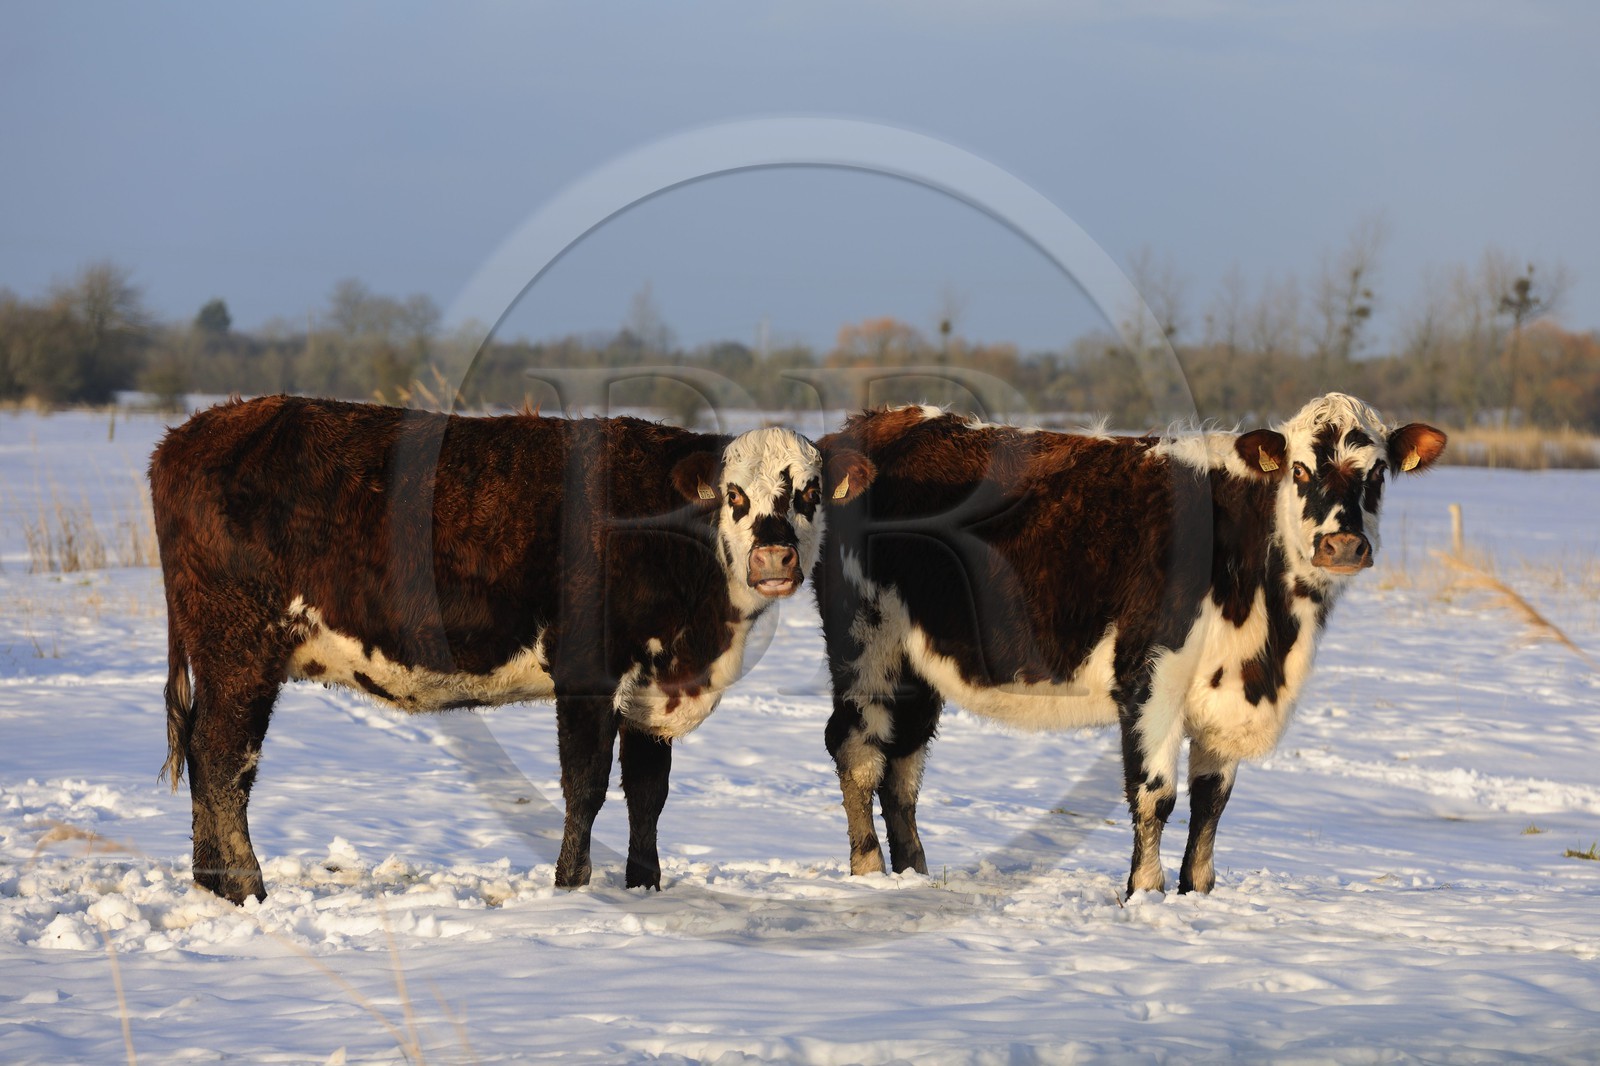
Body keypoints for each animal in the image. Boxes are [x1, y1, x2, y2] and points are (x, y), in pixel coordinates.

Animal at [150, 395, 870, 904]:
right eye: (735, 495)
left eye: (808, 493)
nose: (775, 557)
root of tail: (196, 432)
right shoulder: (585, 670)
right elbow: (586, 786)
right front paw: (572, 887)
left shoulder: (650, 686)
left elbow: (648, 793)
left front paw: (645, 887)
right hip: (240, 649)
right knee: (225, 762)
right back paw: (247, 890)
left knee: (202, 754)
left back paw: (211, 886)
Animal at [814, 393, 1446, 896]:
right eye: (1299, 469)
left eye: (1378, 473)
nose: (1343, 545)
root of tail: (869, 425)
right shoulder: (1151, 677)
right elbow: (1155, 794)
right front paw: (1144, 892)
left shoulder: (1221, 700)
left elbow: (1211, 802)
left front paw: (1197, 891)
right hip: (865, 644)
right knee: (858, 752)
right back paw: (868, 870)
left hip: (916, 667)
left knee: (903, 764)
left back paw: (913, 875)